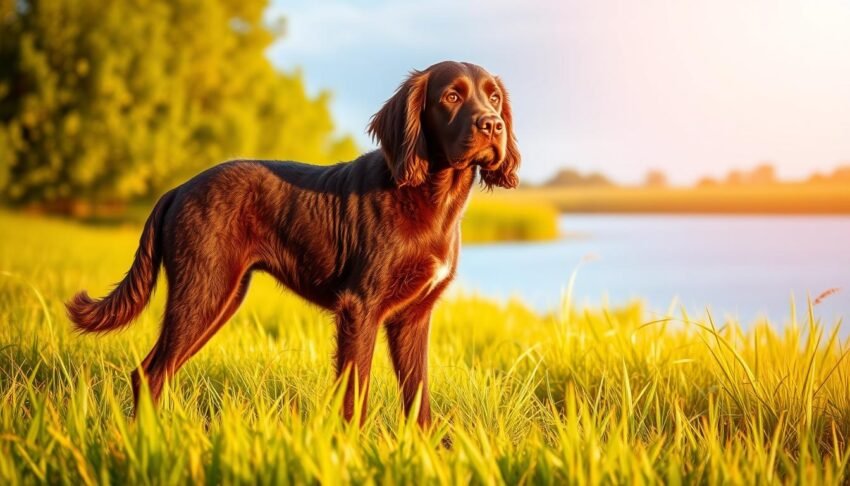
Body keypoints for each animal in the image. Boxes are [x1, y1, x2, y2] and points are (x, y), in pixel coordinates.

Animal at [66, 60, 516, 426]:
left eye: (494, 97)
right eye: (452, 96)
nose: (493, 124)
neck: (430, 198)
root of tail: (178, 189)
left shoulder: (413, 318)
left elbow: (418, 401)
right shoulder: (360, 308)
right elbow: (355, 397)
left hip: (220, 297)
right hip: (202, 290)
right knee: (149, 373)